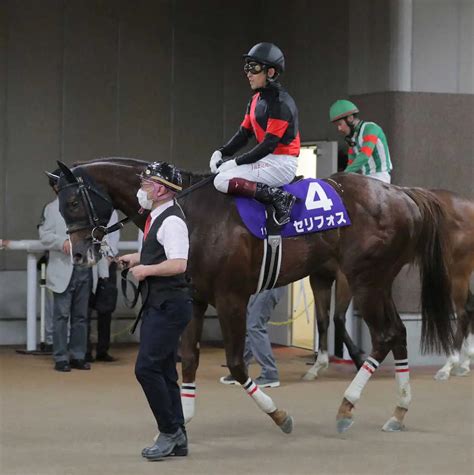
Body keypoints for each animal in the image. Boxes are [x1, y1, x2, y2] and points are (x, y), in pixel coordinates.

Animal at [306, 190, 472, 384]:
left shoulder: (344, 277)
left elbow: (338, 318)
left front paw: (358, 358)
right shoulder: (319, 277)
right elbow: (322, 320)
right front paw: (318, 366)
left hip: (456, 272)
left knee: (462, 313)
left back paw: (448, 365)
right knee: (470, 308)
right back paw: (464, 364)